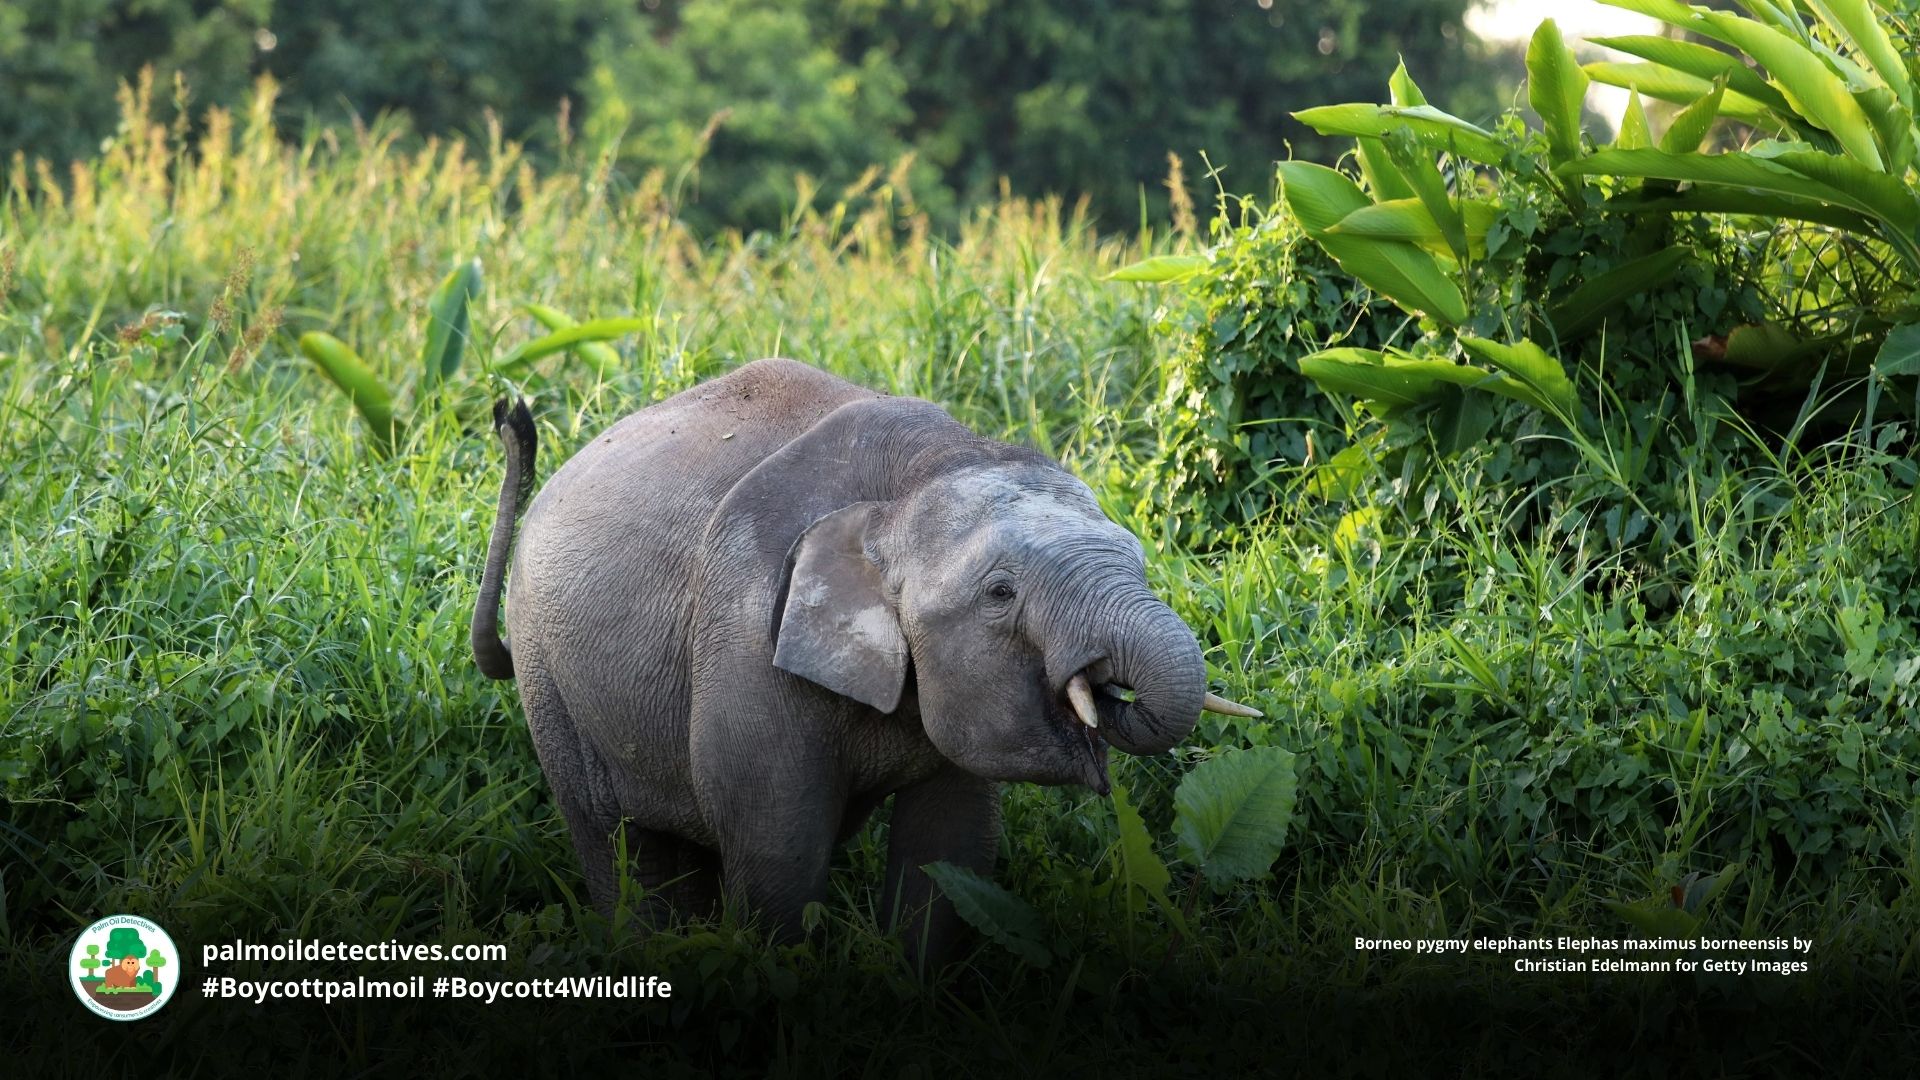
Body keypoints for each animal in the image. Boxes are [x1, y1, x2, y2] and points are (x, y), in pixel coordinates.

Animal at [471, 358, 1256, 963]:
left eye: (1139, 559)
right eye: (1001, 593)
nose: (508, 412)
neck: (914, 479)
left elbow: (950, 847)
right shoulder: (745, 641)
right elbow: (778, 851)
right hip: (549, 680)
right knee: (619, 844)